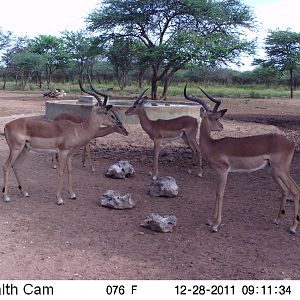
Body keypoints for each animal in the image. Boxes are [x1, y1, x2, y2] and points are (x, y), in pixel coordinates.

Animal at [186, 86, 298, 234]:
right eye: (215, 118)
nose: (221, 127)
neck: (213, 145)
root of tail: (291, 143)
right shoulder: (219, 172)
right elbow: (216, 192)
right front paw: (210, 220)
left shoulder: (224, 171)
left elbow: (220, 193)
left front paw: (216, 225)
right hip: (271, 171)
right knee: (285, 190)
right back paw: (277, 219)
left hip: (281, 170)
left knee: (295, 190)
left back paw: (293, 227)